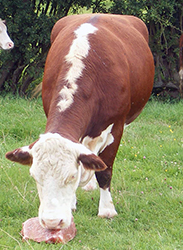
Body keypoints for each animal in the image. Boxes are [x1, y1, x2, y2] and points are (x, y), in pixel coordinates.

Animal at [5, 13, 154, 229]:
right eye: (35, 177)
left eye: (72, 176)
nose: (52, 221)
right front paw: (72, 203)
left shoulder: (116, 126)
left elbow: (105, 170)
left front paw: (107, 210)